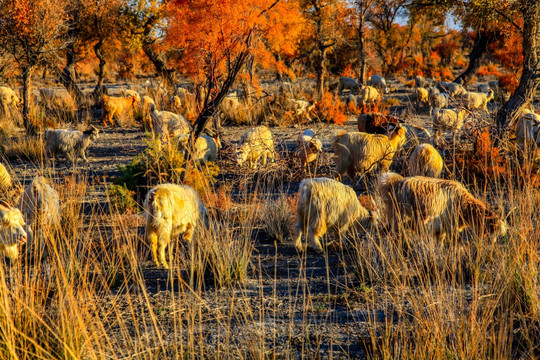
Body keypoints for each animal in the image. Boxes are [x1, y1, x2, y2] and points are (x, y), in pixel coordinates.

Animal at [376, 175, 506, 240]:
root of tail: (393, 185)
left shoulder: (440, 229)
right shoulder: (450, 226)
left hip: (393, 217)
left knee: (383, 231)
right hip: (401, 218)